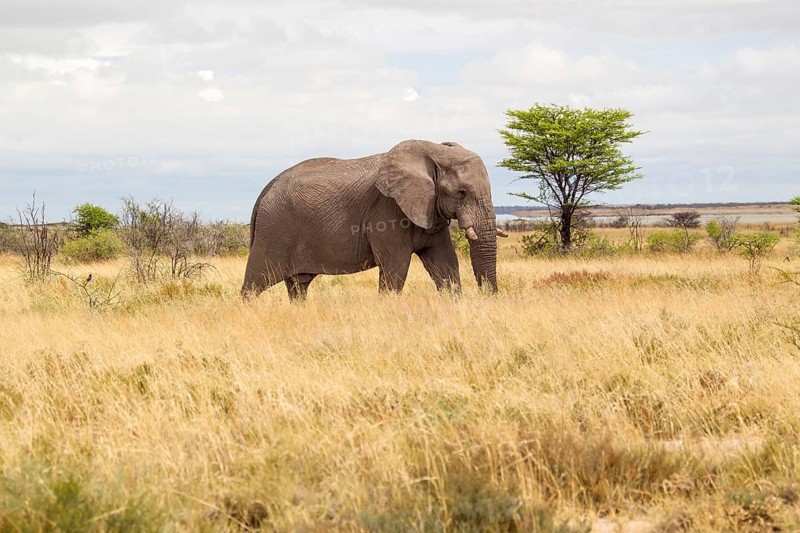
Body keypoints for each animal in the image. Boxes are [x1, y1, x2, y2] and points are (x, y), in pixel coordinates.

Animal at [241, 139, 506, 300]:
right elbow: (396, 266)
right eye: (461, 193)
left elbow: (445, 263)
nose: (488, 298)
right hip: (274, 231)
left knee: (298, 285)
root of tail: (264, 191)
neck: (433, 150)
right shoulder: (388, 211)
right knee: (254, 283)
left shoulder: (429, 210)